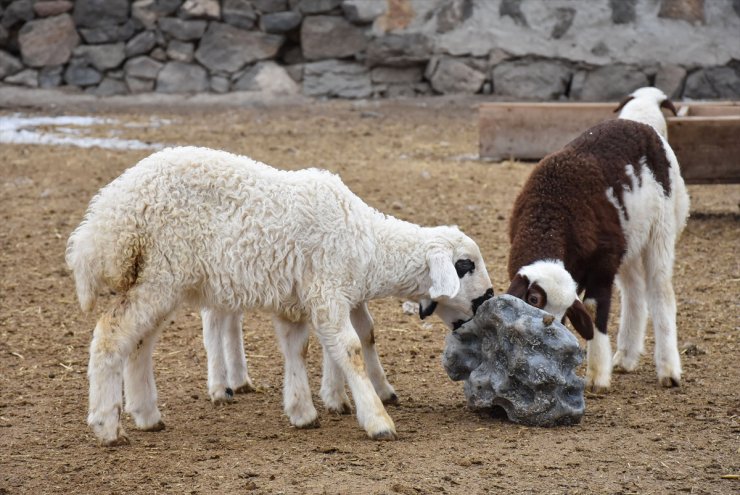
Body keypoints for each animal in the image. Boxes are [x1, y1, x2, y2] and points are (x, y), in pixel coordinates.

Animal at [66, 146, 494, 446]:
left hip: (160, 281)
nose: (488, 298)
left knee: (139, 343)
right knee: (109, 337)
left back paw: (147, 415)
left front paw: (304, 410)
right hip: (159, 273)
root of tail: (106, 215)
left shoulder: (304, 299)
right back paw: (107, 426)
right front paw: (377, 420)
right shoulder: (326, 289)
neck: (367, 243)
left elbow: (298, 348)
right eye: (465, 265)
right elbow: (351, 348)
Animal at [506, 88, 692, 392]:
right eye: (532, 299)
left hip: (661, 229)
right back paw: (626, 357)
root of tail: (640, 121)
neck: (549, 214)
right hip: (628, 241)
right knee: (634, 291)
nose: (546, 332)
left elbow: (594, 311)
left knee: (660, 292)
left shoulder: (602, 265)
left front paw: (597, 377)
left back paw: (668, 370)